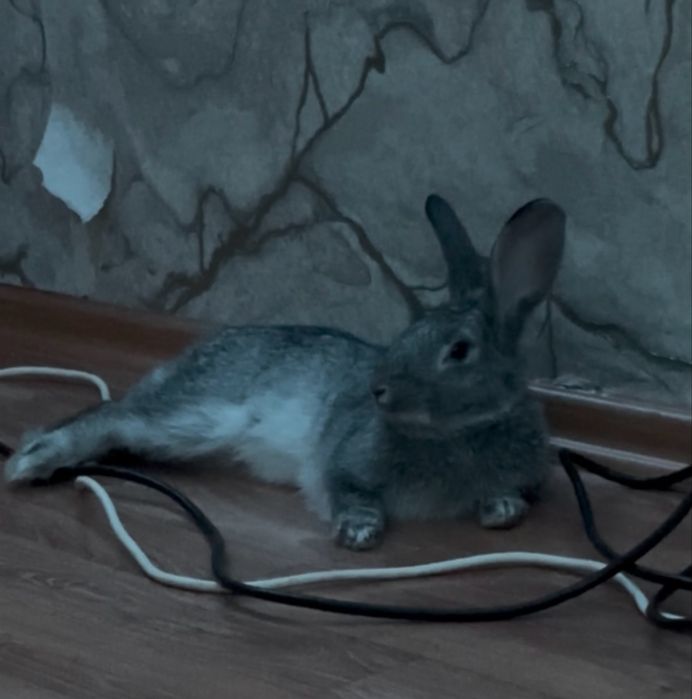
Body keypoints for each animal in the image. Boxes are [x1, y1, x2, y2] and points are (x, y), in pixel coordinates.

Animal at [4, 194, 566, 551]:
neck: (460, 432)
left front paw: (501, 510)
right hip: (200, 416)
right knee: (110, 415)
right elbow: (347, 491)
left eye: (459, 350)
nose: (378, 390)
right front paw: (359, 532)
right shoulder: (342, 461)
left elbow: (515, 496)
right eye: (411, 329)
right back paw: (31, 460)